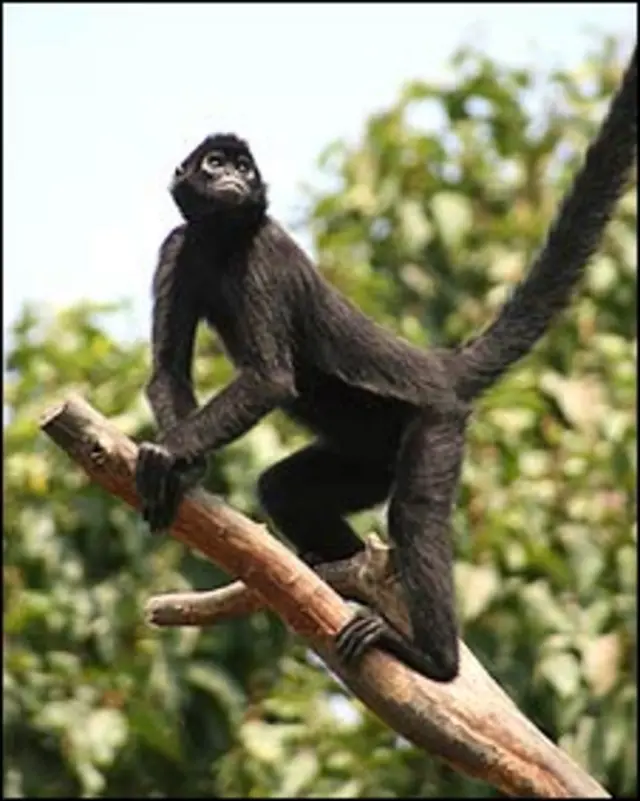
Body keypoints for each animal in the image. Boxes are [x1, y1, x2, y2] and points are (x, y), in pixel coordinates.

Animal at [136, 46, 637, 683]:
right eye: (216, 162)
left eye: (245, 169)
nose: (233, 178)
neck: (225, 240)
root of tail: (438, 368)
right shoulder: (178, 245)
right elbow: (168, 368)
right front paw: (185, 469)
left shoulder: (265, 251)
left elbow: (269, 379)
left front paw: (169, 454)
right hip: (369, 454)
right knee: (285, 488)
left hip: (436, 423)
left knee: (414, 514)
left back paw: (433, 659)